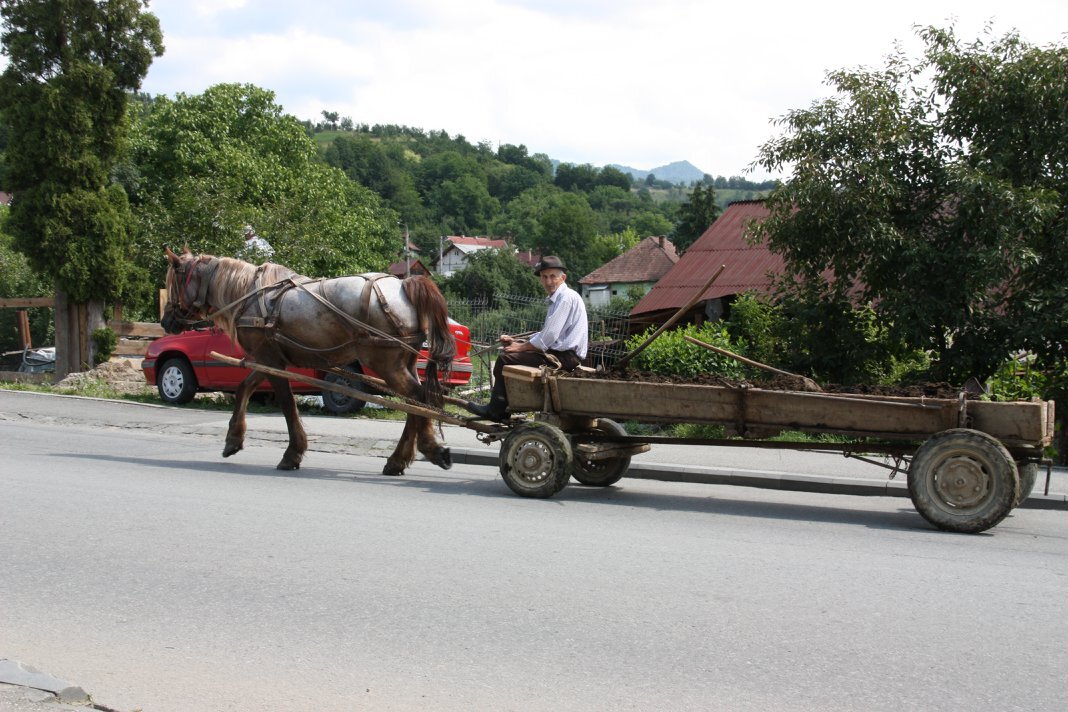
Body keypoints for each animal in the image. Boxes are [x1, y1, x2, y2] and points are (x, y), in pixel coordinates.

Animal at [161, 247, 454, 476]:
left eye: (174, 282)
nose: (166, 322)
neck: (249, 295)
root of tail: (403, 285)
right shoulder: (268, 358)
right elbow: (244, 388)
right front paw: (233, 439)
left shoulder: (270, 361)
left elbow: (287, 405)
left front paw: (292, 453)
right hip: (403, 363)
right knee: (416, 403)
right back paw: (398, 460)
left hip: (387, 364)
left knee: (419, 398)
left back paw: (430, 448)